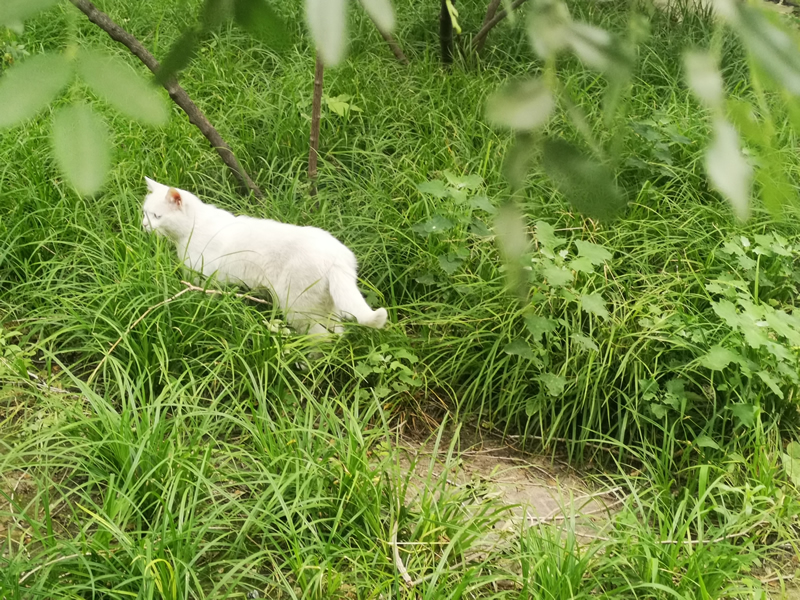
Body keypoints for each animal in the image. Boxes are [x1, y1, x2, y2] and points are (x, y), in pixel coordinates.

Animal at [141, 178, 390, 336]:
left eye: (157, 216)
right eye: (145, 213)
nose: (144, 225)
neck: (190, 231)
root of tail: (340, 258)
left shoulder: (204, 279)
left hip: (296, 305)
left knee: (321, 337)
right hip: (326, 305)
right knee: (338, 332)